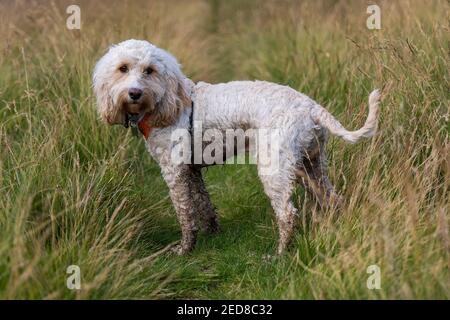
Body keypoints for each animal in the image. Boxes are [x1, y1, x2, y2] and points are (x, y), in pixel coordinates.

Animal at [93, 40, 382, 255]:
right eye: (122, 68)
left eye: (149, 70)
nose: (134, 93)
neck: (167, 101)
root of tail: (311, 107)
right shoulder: (192, 171)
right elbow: (204, 205)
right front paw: (213, 234)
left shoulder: (174, 171)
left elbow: (185, 213)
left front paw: (185, 249)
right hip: (309, 166)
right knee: (332, 199)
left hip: (276, 170)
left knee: (287, 214)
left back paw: (279, 254)